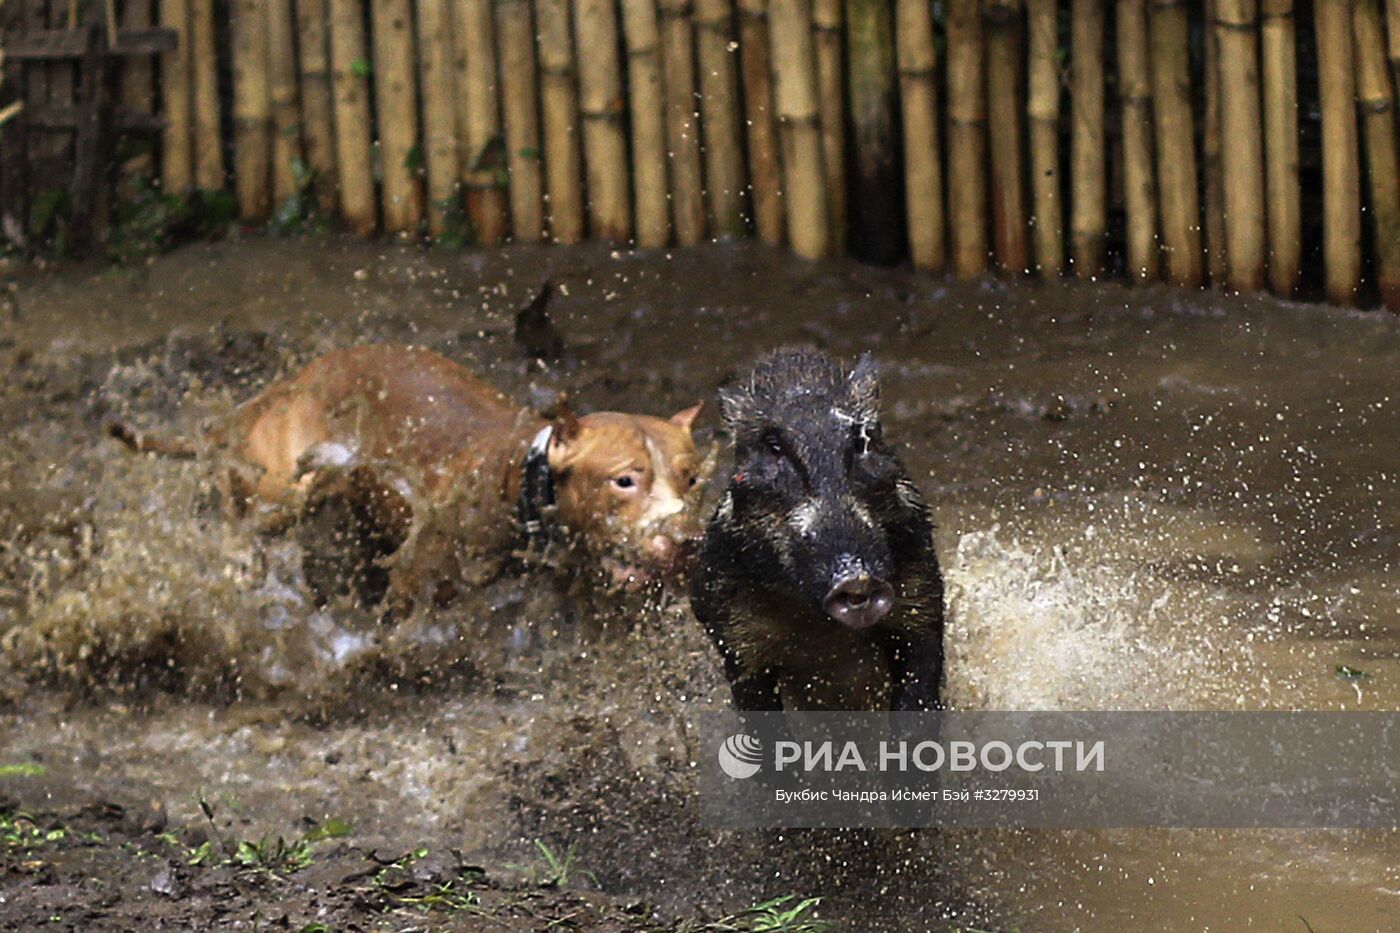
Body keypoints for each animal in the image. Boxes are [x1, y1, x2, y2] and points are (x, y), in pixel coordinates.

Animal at [116, 344, 711, 607]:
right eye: (624, 481)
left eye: (692, 479)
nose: (686, 541)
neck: (518, 479)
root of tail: (296, 379)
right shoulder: (417, 581)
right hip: (286, 489)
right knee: (242, 514)